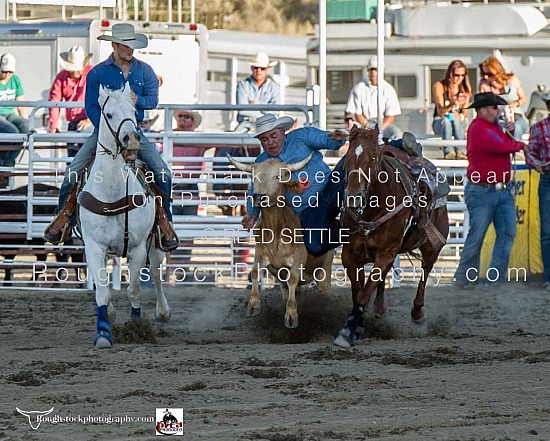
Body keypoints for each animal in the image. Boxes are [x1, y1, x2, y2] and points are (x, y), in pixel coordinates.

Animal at [78, 84, 170, 348]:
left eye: (133, 110)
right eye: (108, 114)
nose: (132, 139)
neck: (112, 192)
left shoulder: (138, 247)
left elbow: (134, 290)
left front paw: (137, 327)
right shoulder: (94, 246)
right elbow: (102, 292)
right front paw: (103, 332)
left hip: (156, 243)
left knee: (157, 273)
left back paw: (163, 312)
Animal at [334, 126, 450, 348]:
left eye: (373, 157)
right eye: (348, 157)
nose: (353, 196)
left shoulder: (387, 253)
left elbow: (363, 293)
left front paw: (347, 332)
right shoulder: (350, 255)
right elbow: (358, 291)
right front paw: (357, 326)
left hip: (433, 246)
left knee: (425, 272)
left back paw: (417, 312)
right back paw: (380, 307)